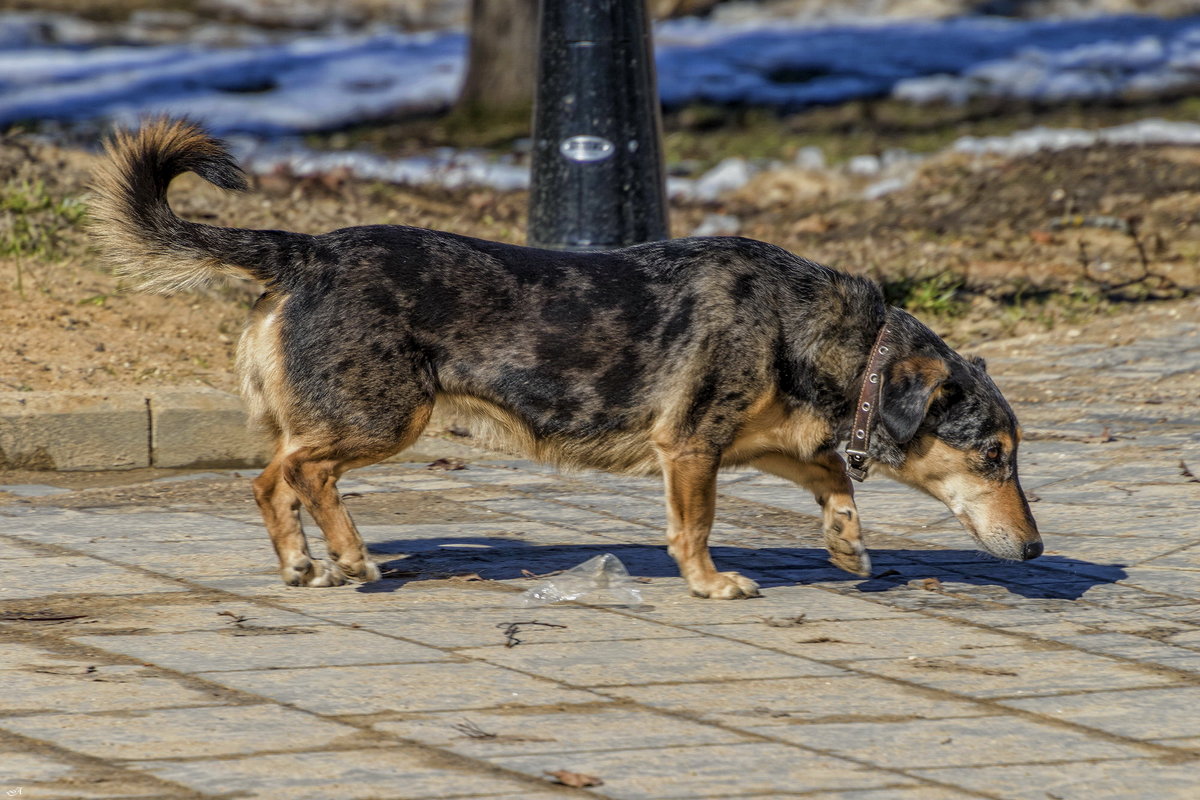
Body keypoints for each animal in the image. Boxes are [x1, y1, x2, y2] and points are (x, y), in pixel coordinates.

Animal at [91, 120, 1041, 599]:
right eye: (993, 457)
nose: (1036, 550)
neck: (833, 340)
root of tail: (307, 250)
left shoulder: (763, 443)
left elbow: (837, 483)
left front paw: (847, 547)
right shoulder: (691, 449)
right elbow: (696, 526)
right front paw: (709, 583)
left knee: (272, 478)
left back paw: (302, 562)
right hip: (387, 415)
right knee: (299, 471)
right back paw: (351, 557)